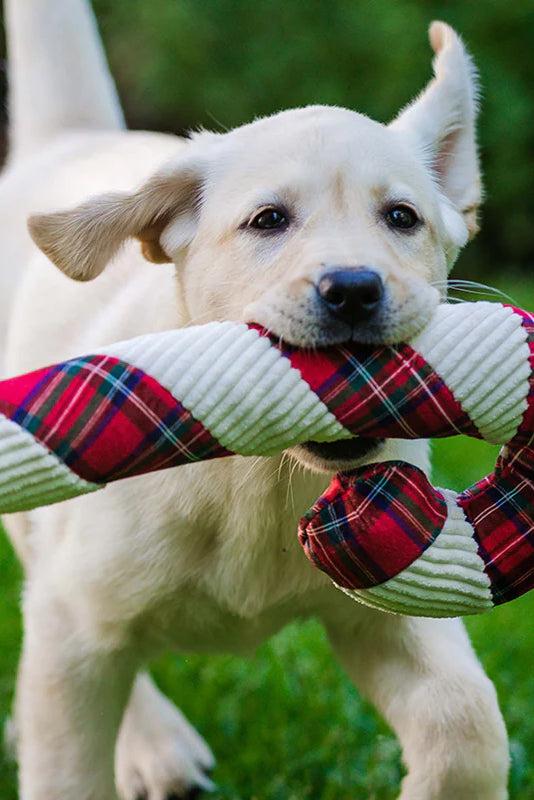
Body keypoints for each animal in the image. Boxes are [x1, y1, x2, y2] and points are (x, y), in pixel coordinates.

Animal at [0, 1, 510, 800]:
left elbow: (468, 723)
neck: (256, 476)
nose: (354, 289)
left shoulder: (386, 609)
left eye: (402, 217)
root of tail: (75, 139)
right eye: (269, 220)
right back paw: (156, 745)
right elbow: (67, 769)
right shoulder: (70, 625)